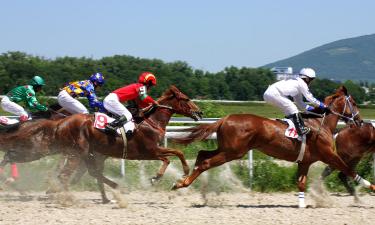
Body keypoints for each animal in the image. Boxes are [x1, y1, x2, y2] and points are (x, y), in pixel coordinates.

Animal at [0, 85, 203, 202]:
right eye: (186, 99)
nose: (199, 112)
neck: (149, 121)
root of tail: (60, 122)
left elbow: (174, 155)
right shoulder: (149, 151)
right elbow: (174, 155)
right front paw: (163, 176)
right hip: (58, 151)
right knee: (62, 173)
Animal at [172, 86, 374, 207]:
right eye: (354, 103)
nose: (360, 121)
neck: (320, 125)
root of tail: (225, 118)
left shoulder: (305, 161)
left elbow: (301, 183)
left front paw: (302, 204)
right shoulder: (329, 155)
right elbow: (348, 170)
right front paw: (370, 186)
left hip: (226, 149)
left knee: (201, 155)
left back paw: (192, 185)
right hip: (233, 152)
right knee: (206, 162)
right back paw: (182, 183)